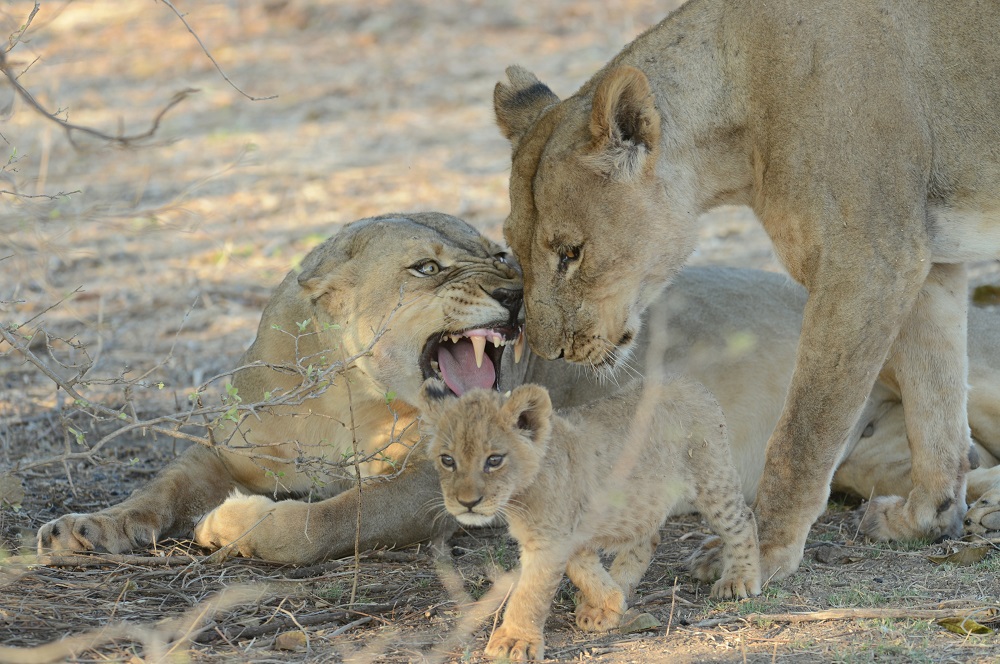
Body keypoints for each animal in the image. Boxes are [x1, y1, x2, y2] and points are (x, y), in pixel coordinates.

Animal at [33, 215, 1000, 564]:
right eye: (426, 268)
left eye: (499, 252)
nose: (516, 295)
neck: (349, 402)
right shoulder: (234, 445)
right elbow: (161, 485)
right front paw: (85, 527)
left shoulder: (445, 484)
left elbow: (329, 518)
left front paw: (238, 526)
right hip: (865, 458)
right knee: (952, 466)